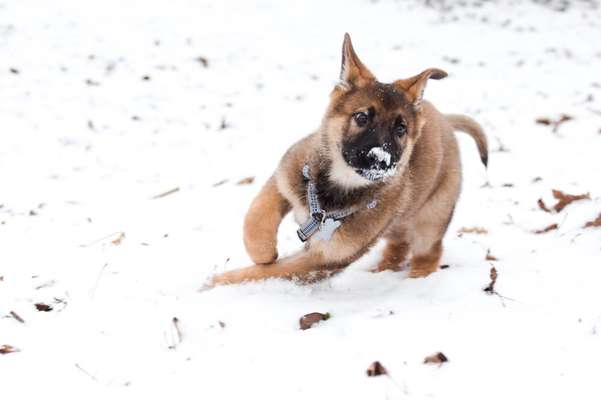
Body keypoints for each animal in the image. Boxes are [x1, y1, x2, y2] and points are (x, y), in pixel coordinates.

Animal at [211, 32, 488, 286]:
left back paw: (416, 279)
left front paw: (219, 281)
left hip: (431, 217)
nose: (381, 160)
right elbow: (257, 214)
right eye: (361, 117)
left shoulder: (326, 258)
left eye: (401, 129)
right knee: (398, 245)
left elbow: (269, 272)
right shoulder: (286, 175)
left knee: (428, 252)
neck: (336, 190)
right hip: (398, 220)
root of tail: (445, 121)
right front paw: (263, 252)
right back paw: (381, 270)